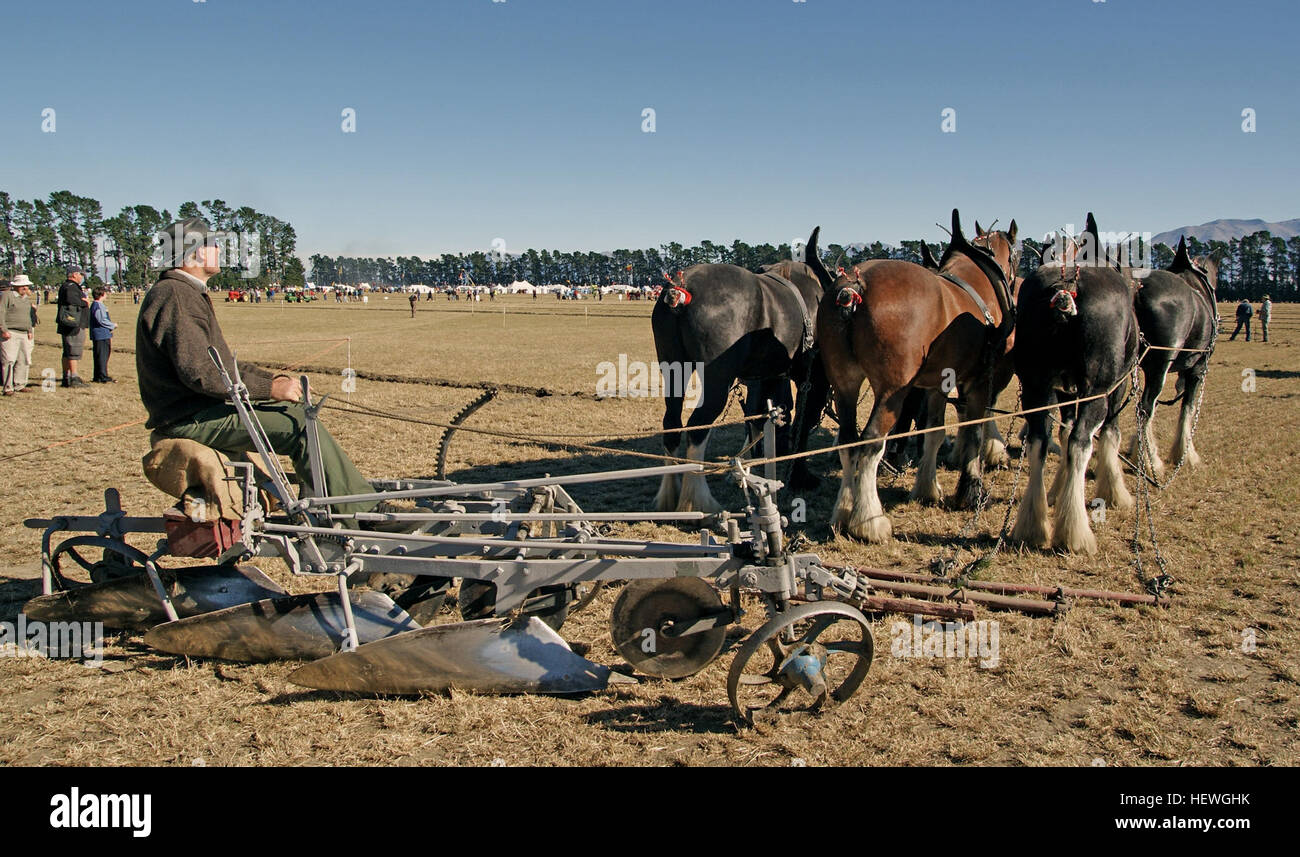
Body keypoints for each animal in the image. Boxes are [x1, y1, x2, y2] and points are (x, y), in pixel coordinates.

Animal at [650, 224, 832, 512]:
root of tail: (681, 288)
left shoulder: (771, 376)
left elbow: (762, 417)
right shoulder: (813, 378)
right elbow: (803, 422)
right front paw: (800, 476)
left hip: (673, 369)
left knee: (672, 424)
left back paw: (670, 494)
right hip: (716, 380)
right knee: (698, 426)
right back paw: (697, 500)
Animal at [1013, 210, 1138, 553]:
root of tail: (1068, 287)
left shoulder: (1063, 391)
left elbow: (1063, 430)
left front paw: (1057, 492)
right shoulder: (1114, 388)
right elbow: (1109, 433)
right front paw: (1114, 491)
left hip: (1035, 387)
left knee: (1039, 441)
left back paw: (1032, 525)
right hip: (1097, 391)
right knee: (1082, 442)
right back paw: (1074, 533)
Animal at [1128, 236, 1216, 475]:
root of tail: (1138, 288)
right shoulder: (1197, 369)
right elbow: (1188, 407)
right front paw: (1185, 454)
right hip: (1161, 365)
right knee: (1145, 407)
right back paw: (1151, 463)